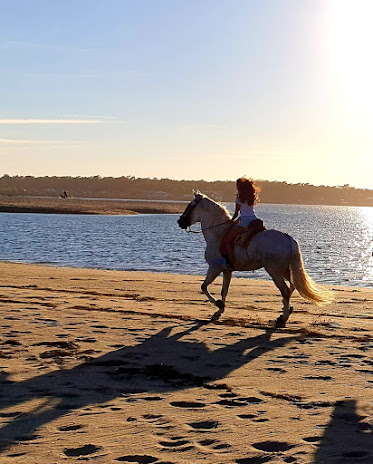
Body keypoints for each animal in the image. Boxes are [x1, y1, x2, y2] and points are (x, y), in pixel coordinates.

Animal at [176, 190, 332, 328]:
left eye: (190, 206)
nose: (180, 222)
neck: (218, 233)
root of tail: (288, 238)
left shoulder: (215, 268)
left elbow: (204, 287)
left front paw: (219, 305)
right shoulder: (227, 270)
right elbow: (223, 290)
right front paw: (220, 309)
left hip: (275, 272)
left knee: (286, 291)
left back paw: (283, 319)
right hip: (285, 270)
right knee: (292, 286)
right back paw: (285, 313)